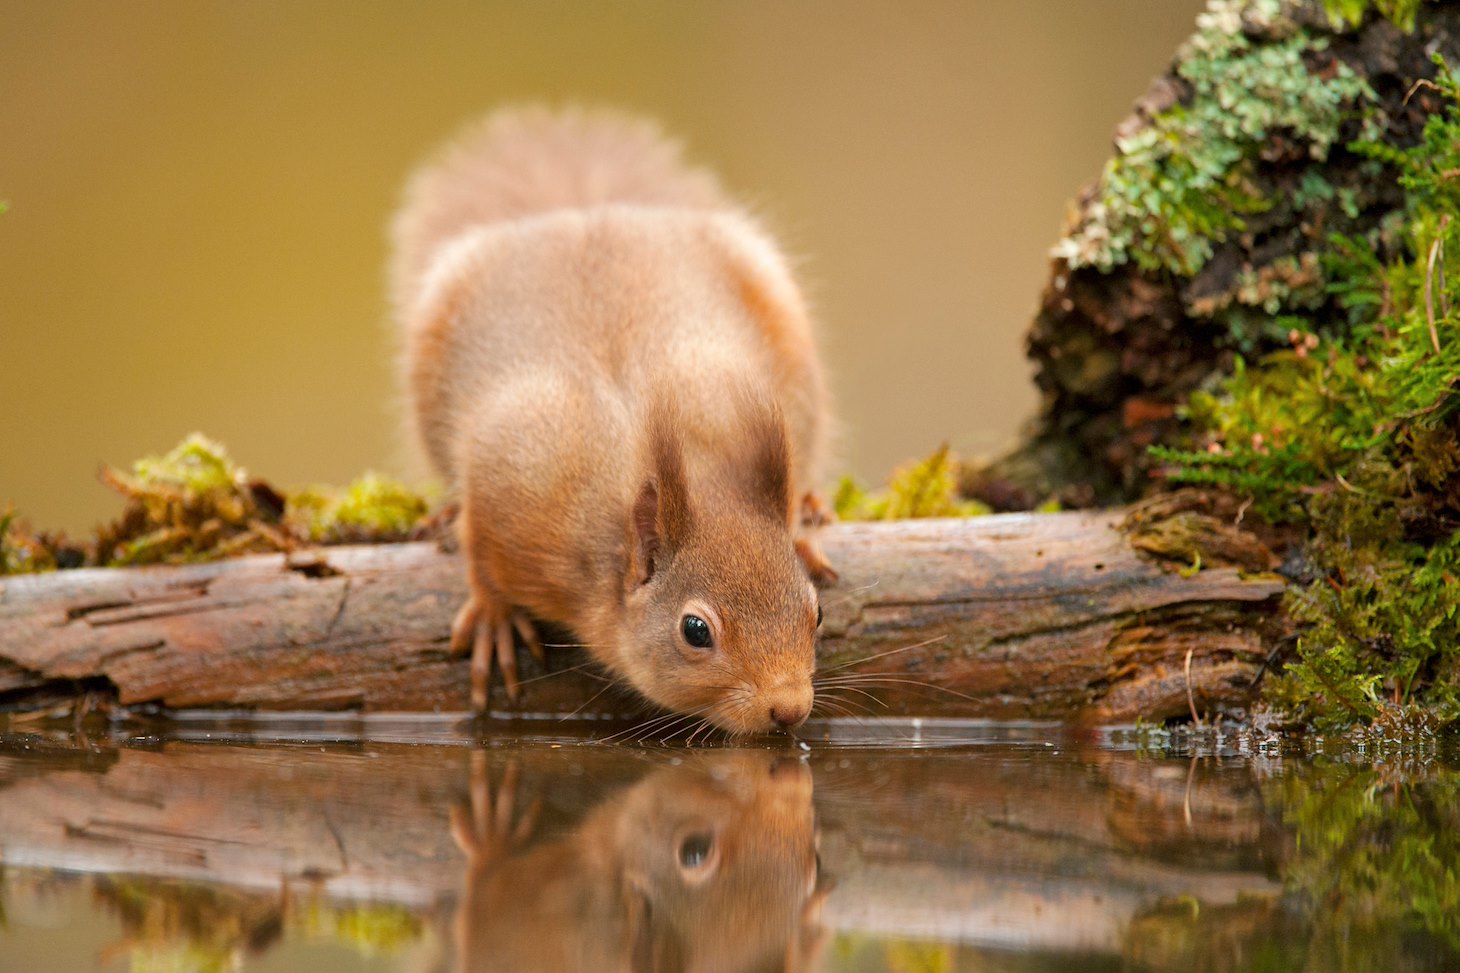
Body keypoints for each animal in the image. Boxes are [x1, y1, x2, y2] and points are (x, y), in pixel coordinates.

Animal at [391, 108, 835, 727]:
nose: (789, 708)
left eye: (816, 612)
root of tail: (582, 212)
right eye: (695, 630)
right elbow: (480, 543)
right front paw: (492, 614)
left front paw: (798, 528)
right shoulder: (517, 481)